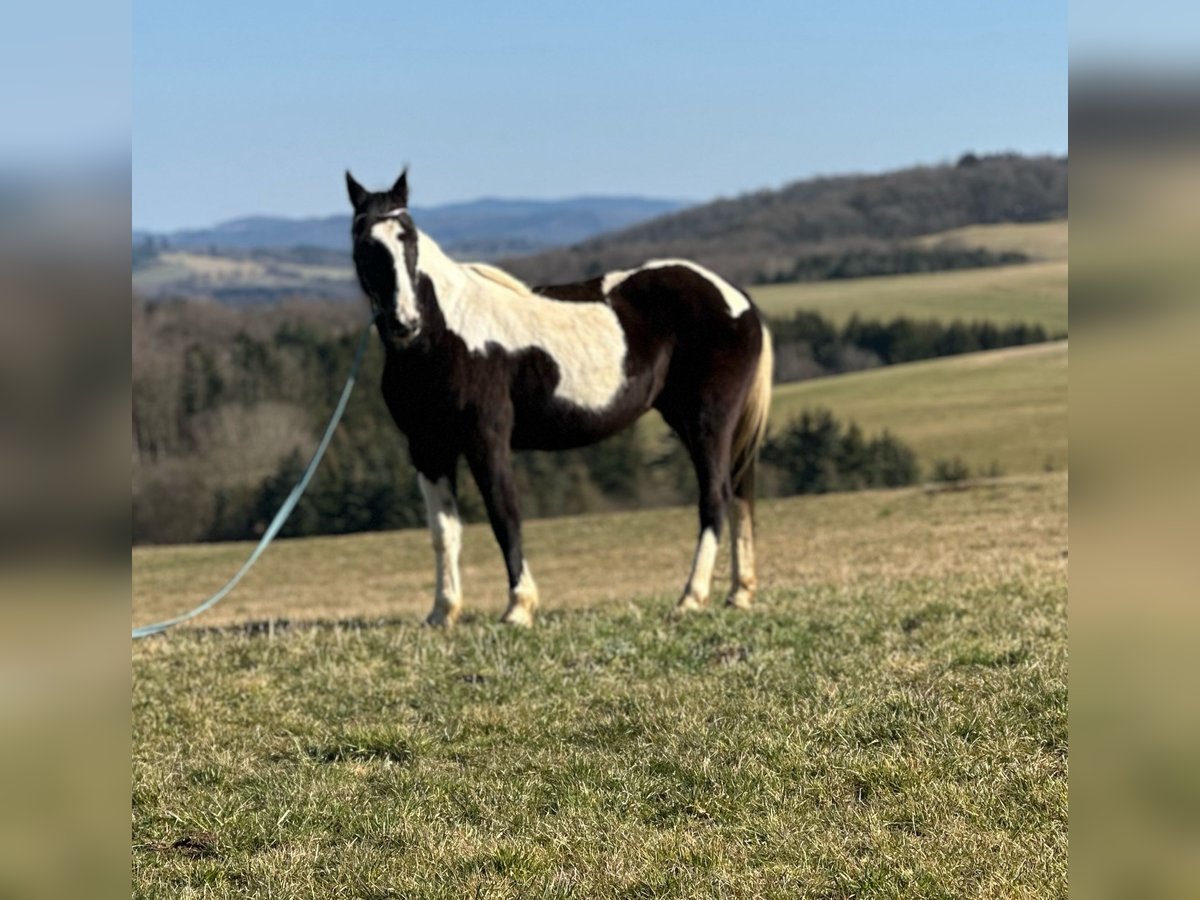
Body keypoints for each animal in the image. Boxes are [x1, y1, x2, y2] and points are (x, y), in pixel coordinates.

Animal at [343, 170, 772, 628]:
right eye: (364, 242)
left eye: (409, 238)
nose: (405, 322)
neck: (445, 333)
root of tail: (737, 298)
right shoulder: (428, 447)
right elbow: (444, 531)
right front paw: (443, 612)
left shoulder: (486, 439)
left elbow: (504, 516)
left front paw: (519, 606)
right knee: (738, 492)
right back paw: (738, 593)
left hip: (707, 420)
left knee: (715, 498)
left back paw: (692, 596)